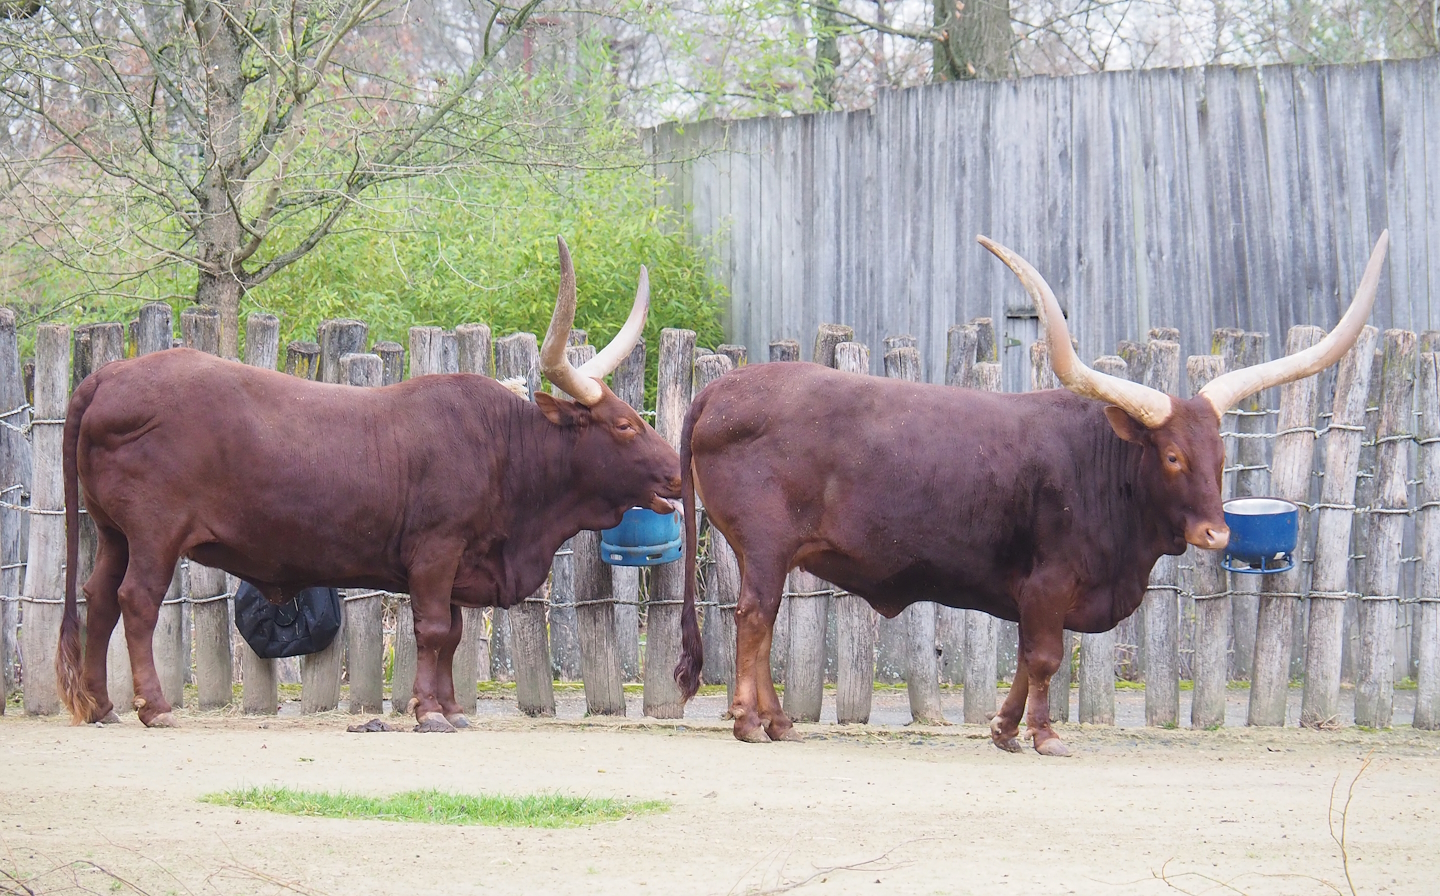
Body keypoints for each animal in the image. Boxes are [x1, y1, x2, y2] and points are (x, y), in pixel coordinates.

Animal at [56, 238, 682, 732]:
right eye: (624, 425)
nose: (678, 470)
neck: (502, 446)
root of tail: (108, 376)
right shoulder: (436, 552)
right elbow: (432, 630)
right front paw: (428, 712)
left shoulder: (460, 564)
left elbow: (454, 633)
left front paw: (450, 708)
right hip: (154, 534)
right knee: (136, 601)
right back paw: (154, 707)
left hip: (113, 533)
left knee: (99, 597)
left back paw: (102, 707)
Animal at [674, 232, 1389, 755]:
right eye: (1172, 455)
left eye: (1220, 458)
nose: (1217, 533)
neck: (1102, 470)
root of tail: (721, 390)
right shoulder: (1049, 582)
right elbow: (1045, 657)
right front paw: (1045, 735)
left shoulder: (1033, 594)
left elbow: (1026, 659)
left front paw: (1005, 730)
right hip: (765, 546)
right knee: (754, 618)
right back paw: (749, 723)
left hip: (773, 553)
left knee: (763, 622)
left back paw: (779, 721)